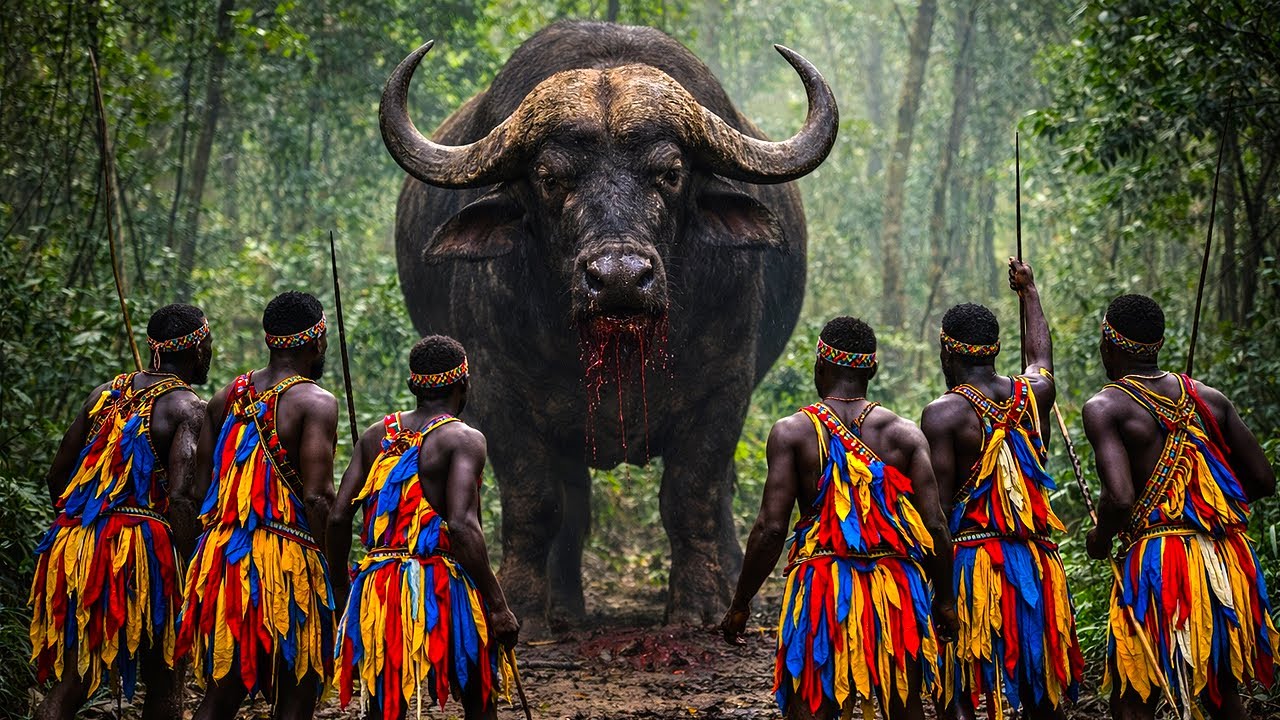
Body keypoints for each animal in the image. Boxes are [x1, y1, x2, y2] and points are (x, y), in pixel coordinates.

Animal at [380, 20, 837, 627]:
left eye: (670, 173)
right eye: (550, 178)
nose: (619, 277)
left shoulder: (725, 387)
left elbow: (690, 495)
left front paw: (696, 607)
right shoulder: (499, 397)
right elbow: (535, 502)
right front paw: (525, 609)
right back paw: (568, 609)